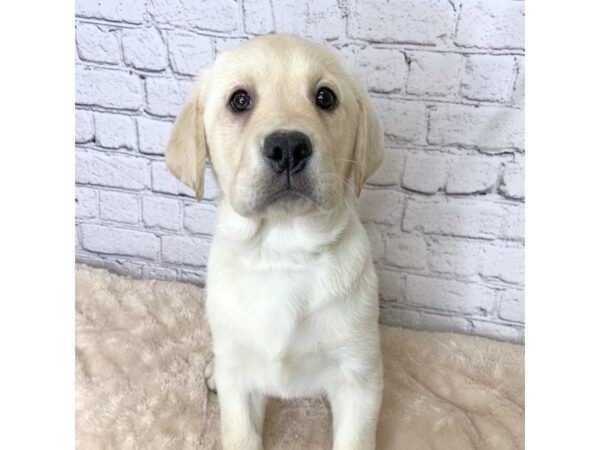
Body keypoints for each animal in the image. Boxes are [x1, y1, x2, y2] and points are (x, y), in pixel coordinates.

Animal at [165, 33, 384, 448]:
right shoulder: (239, 385)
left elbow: (354, 438)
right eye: (239, 100)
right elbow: (240, 434)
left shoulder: (359, 379)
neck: (282, 251)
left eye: (325, 97)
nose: (288, 147)